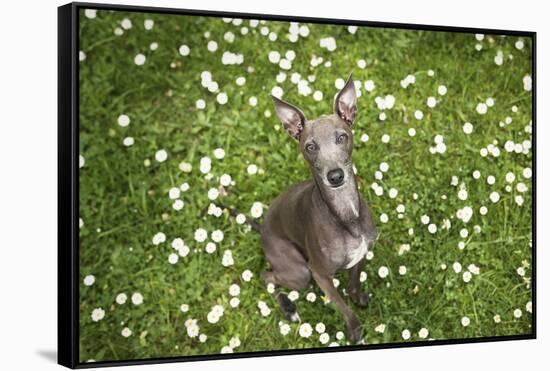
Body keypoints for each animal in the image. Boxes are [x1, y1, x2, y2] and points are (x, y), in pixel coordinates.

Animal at [264, 74, 380, 344]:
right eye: (310, 147)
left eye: (342, 137)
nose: (335, 176)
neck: (344, 214)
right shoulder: (319, 274)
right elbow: (342, 306)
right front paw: (355, 331)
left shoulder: (362, 252)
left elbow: (353, 284)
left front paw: (358, 299)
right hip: (300, 272)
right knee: (268, 277)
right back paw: (288, 308)